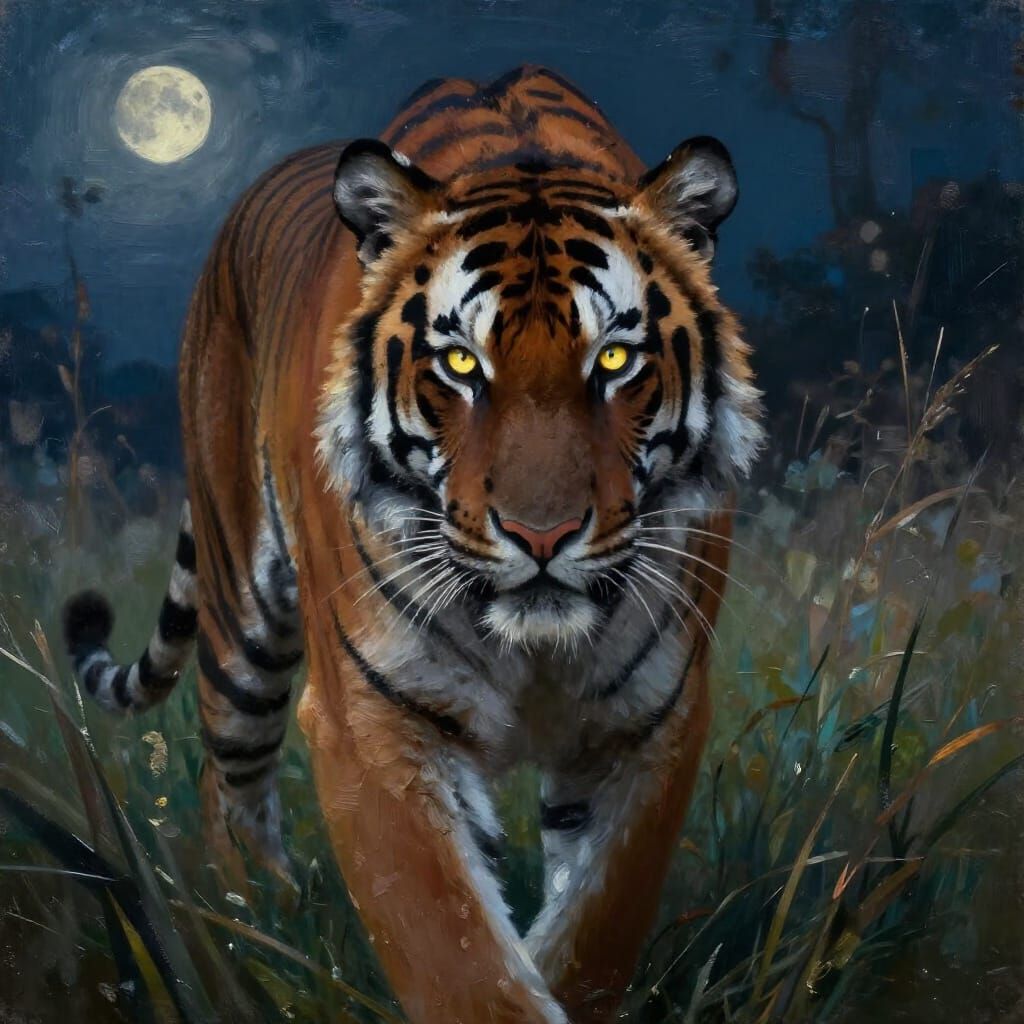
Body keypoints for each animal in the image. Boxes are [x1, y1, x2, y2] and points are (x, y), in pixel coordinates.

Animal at [62, 66, 763, 1023]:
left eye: (616, 361)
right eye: (461, 365)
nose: (541, 534)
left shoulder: (651, 719)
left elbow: (595, 929)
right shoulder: (375, 717)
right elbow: (454, 950)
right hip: (241, 622)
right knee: (227, 784)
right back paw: (258, 923)